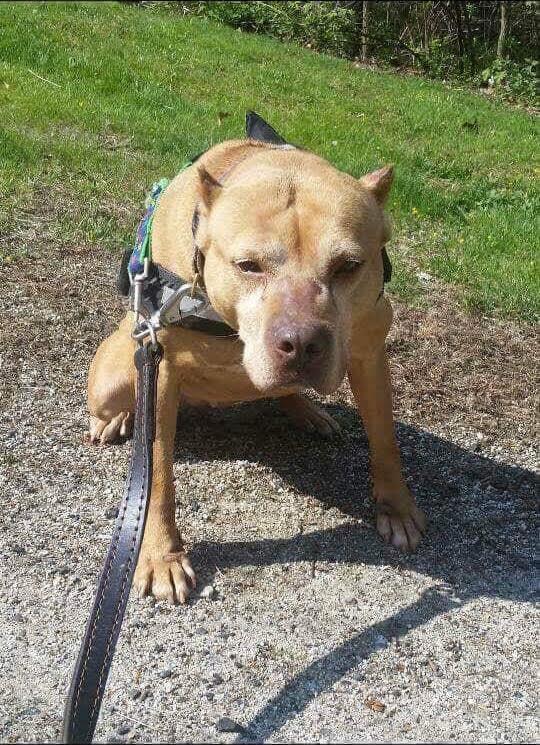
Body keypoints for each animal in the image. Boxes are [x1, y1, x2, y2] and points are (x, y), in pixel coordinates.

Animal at [87, 115, 426, 604]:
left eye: (348, 266)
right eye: (248, 265)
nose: (301, 344)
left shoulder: (367, 351)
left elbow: (385, 438)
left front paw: (396, 507)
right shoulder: (162, 366)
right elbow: (158, 470)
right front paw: (161, 554)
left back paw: (308, 411)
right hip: (114, 376)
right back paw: (115, 419)